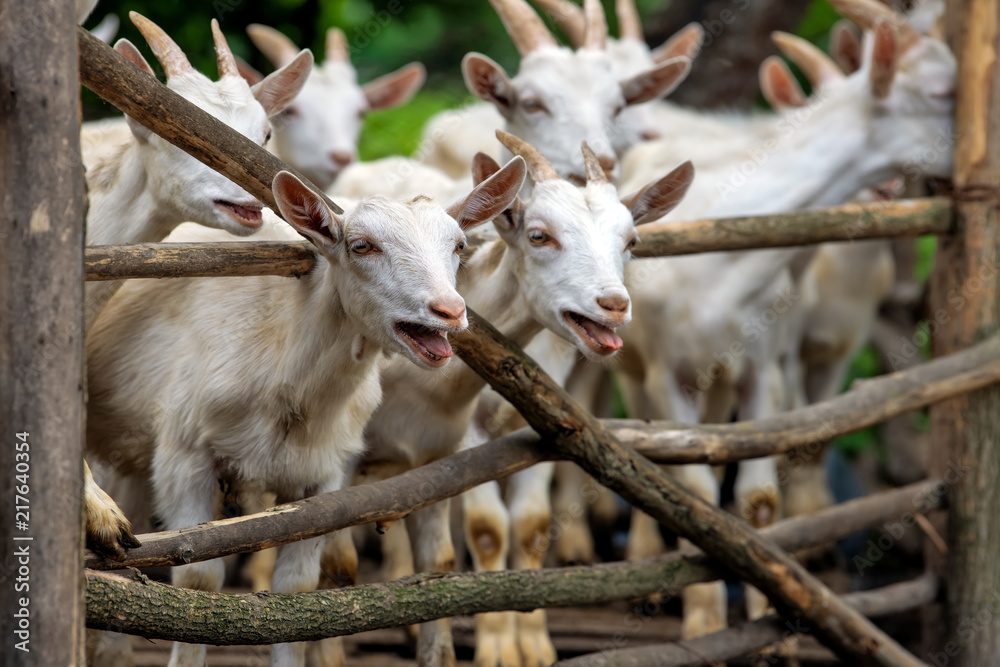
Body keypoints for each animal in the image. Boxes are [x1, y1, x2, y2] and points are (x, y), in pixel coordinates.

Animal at [85, 159, 526, 667]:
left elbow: (295, 591)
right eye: (361, 245)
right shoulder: (184, 456)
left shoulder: (322, 480)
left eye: (459, 246)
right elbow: (198, 580)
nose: (449, 311)